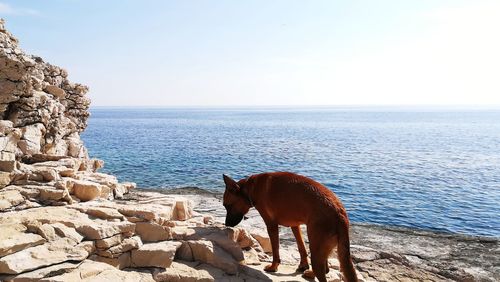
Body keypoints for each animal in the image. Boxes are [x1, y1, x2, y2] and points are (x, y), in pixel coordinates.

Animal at [222, 172, 356, 282]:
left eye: (227, 206)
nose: (226, 224)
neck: (250, 188)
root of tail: (340, 212)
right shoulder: (295, 225)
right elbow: (301, 247)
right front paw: (303, 265)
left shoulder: (271, 225)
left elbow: (275, 250)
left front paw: (273, 267)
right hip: (321, 247)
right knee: (326, 269)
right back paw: (310, 273)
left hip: (316, 249)